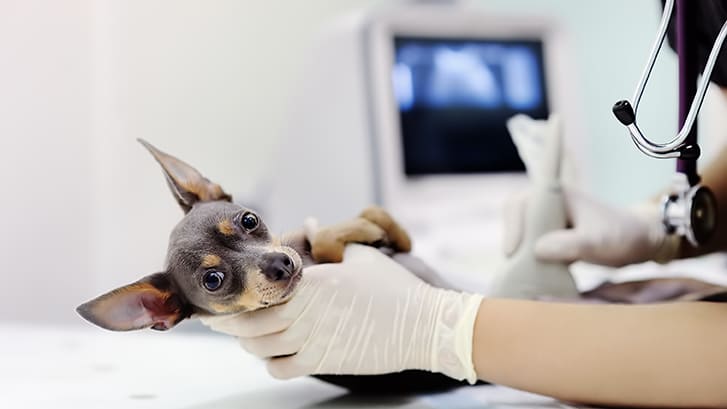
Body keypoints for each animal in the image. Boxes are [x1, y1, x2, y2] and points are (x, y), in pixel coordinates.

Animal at [78, 140, 416, 332]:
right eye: (213, 280)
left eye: (249, 220)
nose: (281, 264)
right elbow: (325, 241)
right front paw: (365, 233)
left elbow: (372, 214)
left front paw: (387, 231)